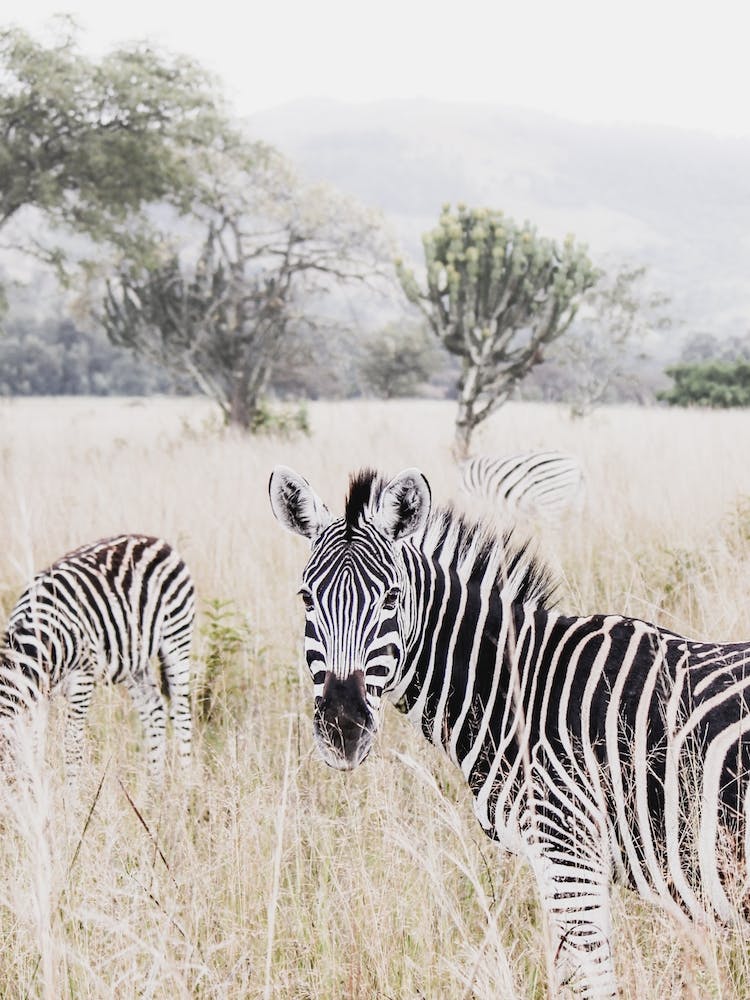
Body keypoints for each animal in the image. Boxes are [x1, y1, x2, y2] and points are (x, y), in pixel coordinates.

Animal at [0, 534, 194, 779]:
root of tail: (155, 540)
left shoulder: (82, 679)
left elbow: (72, 747)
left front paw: (70, 791)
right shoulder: (40, 694)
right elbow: (35, 746)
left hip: (177, 638)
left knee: (181, 714)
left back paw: (187, 785)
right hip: (133, 662)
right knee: (154, 712)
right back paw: (155, 786)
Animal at [269, 464, 750, 999]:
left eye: (392, 597)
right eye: (306, 598)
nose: (343, 727)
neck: (521, 687)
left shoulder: (569, 850)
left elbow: (593, 980)